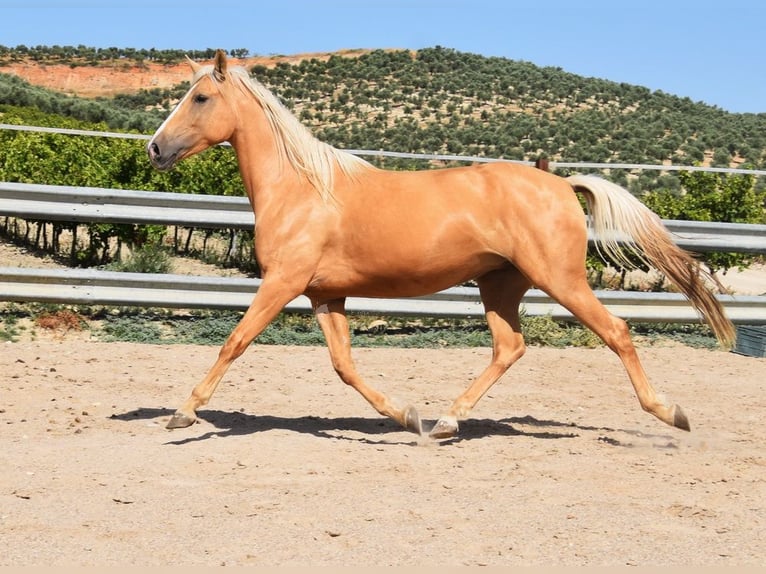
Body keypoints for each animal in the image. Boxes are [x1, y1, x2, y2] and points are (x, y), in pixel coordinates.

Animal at [146, 50, 736, 440]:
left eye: (200, 97)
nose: (154, 149)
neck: (302, 189)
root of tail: (561, 184)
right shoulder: (324, 294)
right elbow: (344, 364)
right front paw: (407, 415)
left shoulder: (282, 282)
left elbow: (235, 342)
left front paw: (184, 412)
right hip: (500, 285)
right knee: (509, 347)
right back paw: (447, 420)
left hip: (560, 280)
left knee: (615, 331)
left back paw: (671, 413)